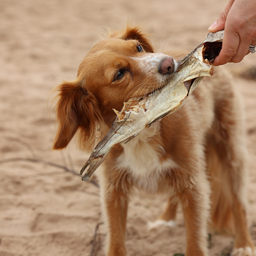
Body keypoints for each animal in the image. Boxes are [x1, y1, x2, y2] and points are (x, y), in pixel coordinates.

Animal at [51, 25, 254, 255]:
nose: (169, 63)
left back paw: (244, 244)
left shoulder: (194, 185)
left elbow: (194, 241)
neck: (142, 132)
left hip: (230, 153)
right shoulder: (113, 191)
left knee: (238, 202)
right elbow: (116, 242)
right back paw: (166, 219)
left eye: (138, 47)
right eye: (119, 74)